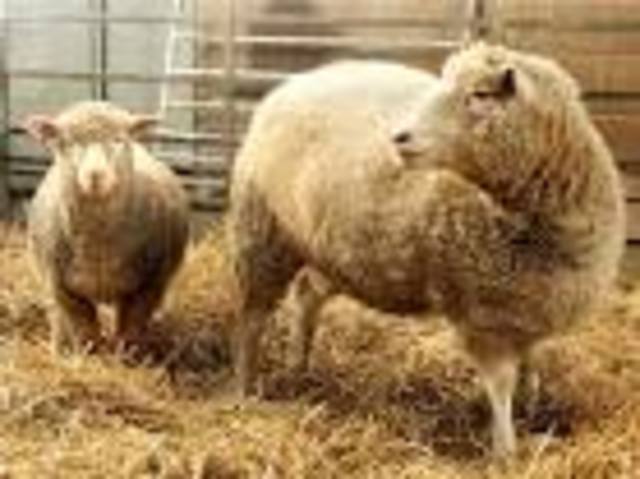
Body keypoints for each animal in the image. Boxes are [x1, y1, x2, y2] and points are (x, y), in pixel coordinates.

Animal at [24, 101, 190, 356]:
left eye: (118, 140)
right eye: (69, 143)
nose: (95, 175)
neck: (99, 247)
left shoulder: (148, 285)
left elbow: (131, 328)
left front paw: (128, 356)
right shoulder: (64, 288)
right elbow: (85, 332)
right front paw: (89, 356)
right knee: (56, 315)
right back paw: (58, 348)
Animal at [228, 46, 625, 458]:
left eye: (480, 94)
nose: (399, 137)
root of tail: (292, 84)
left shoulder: (528, 307)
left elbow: (530, 365)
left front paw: (532, 413)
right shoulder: (483, 313)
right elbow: (501, 384)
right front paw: (506, 450)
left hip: (335, 248)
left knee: (307, 295)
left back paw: (299, 368)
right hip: (264, 232)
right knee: (252, 317)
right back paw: (244, 388)